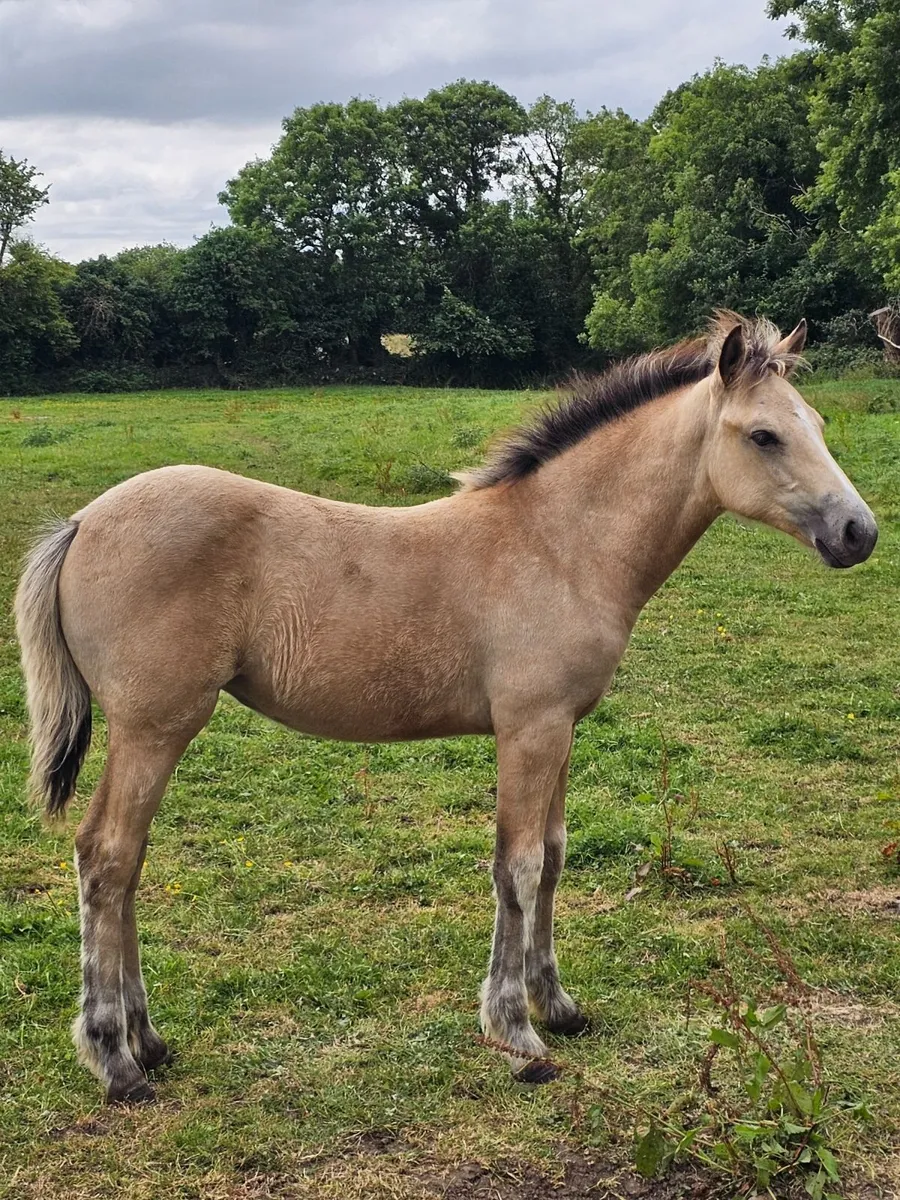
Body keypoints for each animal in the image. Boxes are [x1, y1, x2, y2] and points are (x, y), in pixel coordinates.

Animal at [15, 312, 877, 1104]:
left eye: (817, 424)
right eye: (764, 435)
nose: (858, 532)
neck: (560, 544)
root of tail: (82, 522)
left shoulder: (562, 729)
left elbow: (553, 858)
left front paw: (559, 1007)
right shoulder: (528, 729)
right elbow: (517, 867)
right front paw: (518, 1035)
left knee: (127, 864)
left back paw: (149, 1043)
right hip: (154, 727)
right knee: (106, 857)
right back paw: (117, 1062)